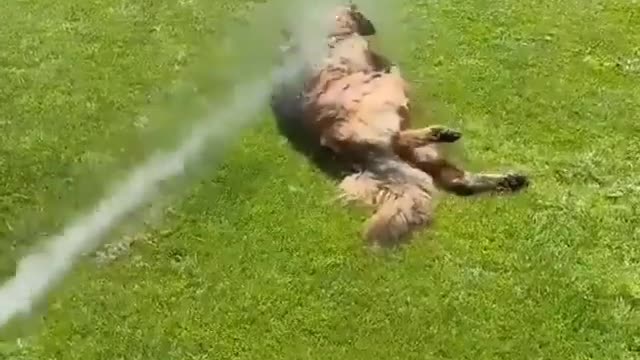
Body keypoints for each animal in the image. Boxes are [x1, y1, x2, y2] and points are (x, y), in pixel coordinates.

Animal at [272, 4, 528, 248]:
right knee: (400, 138)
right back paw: (439, 133)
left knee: (454, 179)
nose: (371, 26)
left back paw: (507, 179)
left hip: (415, 152)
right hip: (385, 103)